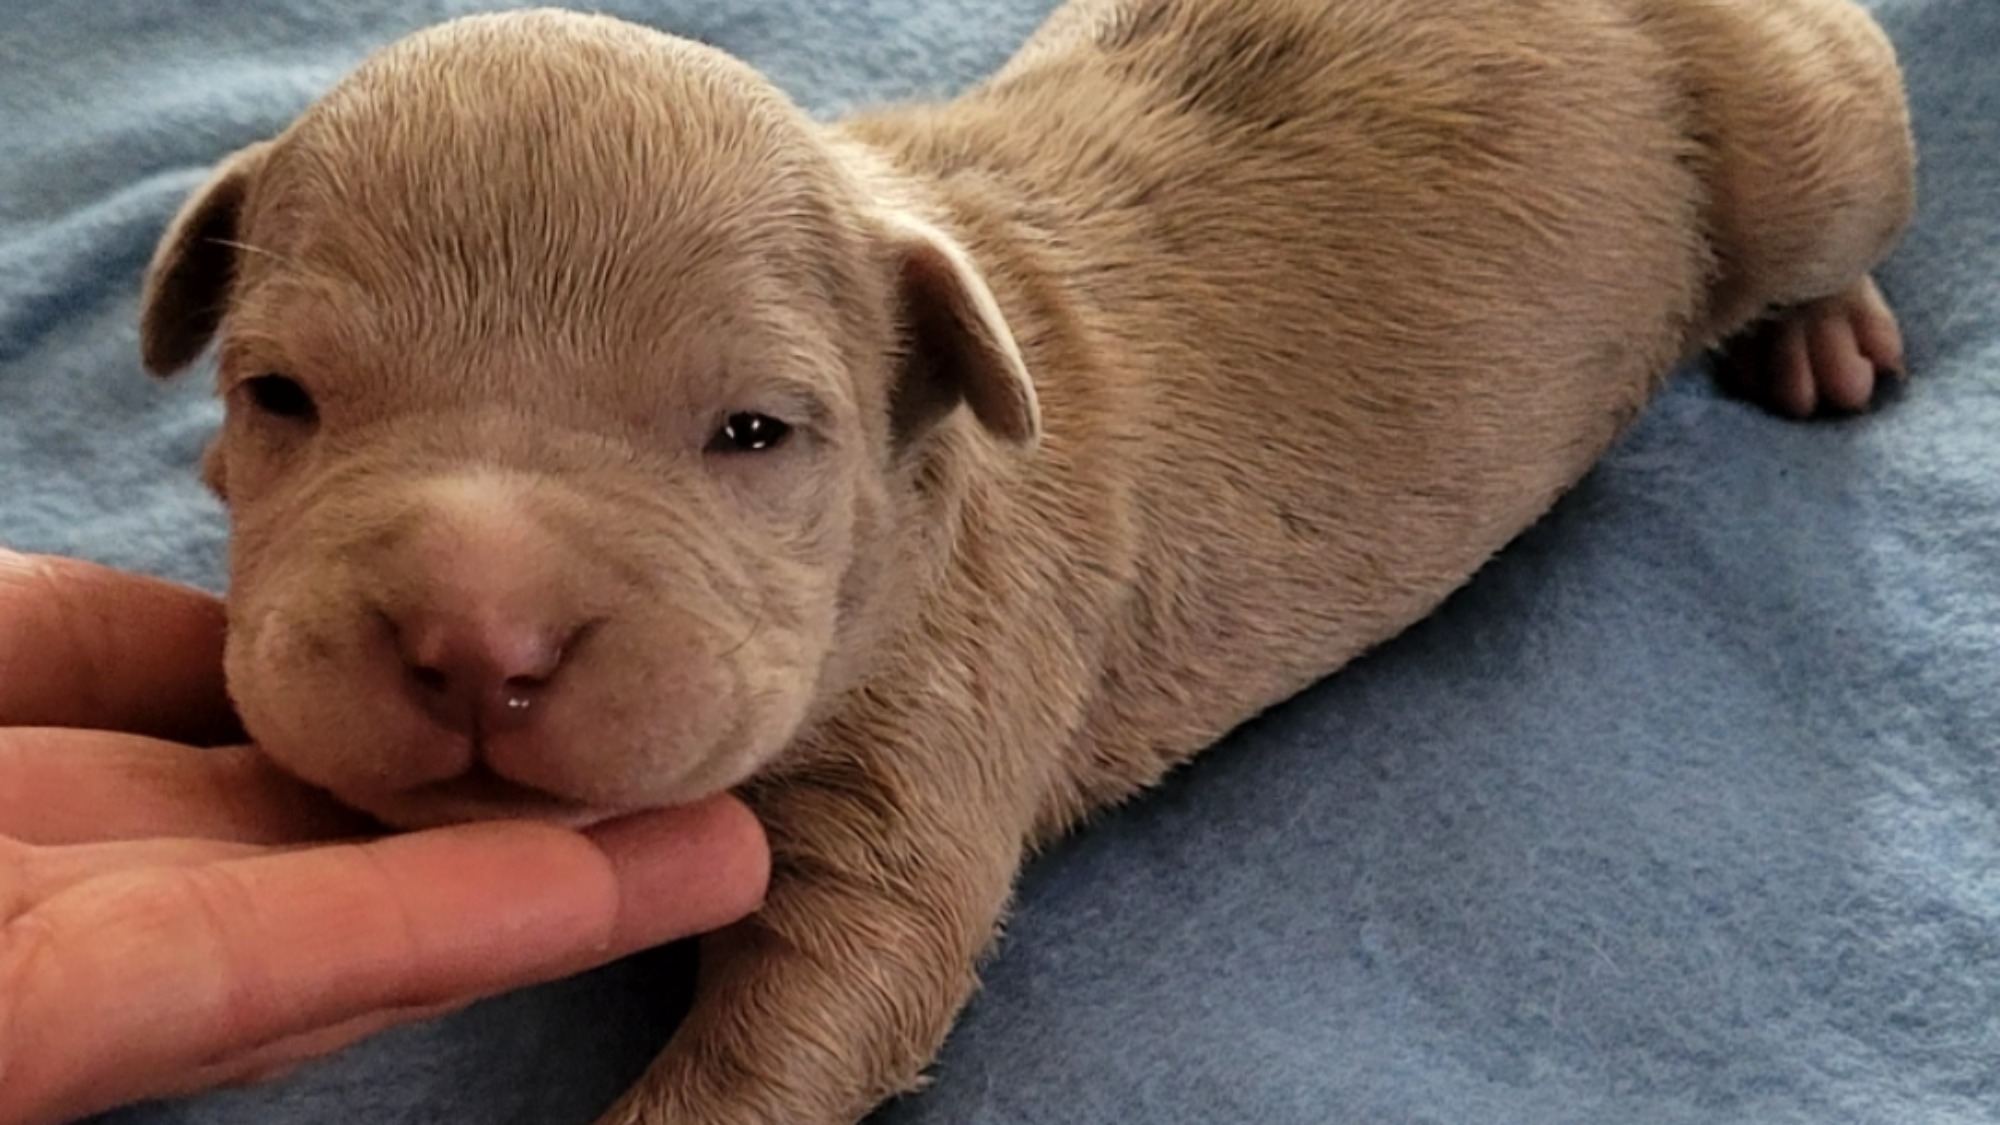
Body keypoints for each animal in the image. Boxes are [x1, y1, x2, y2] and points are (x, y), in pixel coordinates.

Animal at [133, 4, 1912, 1112]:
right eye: (276, 398)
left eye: (754, 432)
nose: (476, 639)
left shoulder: (943, 716)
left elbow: (842, 993)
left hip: (1796, 128)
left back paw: (1827, 332)